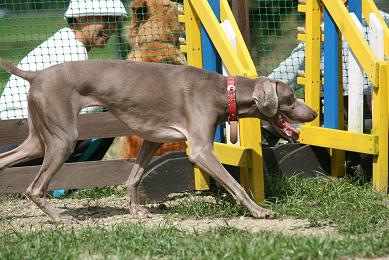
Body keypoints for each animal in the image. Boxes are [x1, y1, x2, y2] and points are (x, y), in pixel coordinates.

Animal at [0, 59, 316, 223]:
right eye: (290, 97)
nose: (313, 113)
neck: (221, 90)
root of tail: (36, 75)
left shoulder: (151, 140)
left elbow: (134, 178)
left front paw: (136, 211)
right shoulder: (200, 151)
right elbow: (236, 184)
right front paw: (259, 210)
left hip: (39, 139)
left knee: (6, 160)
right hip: (62, 138)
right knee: (35, 187)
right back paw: (61, 219)